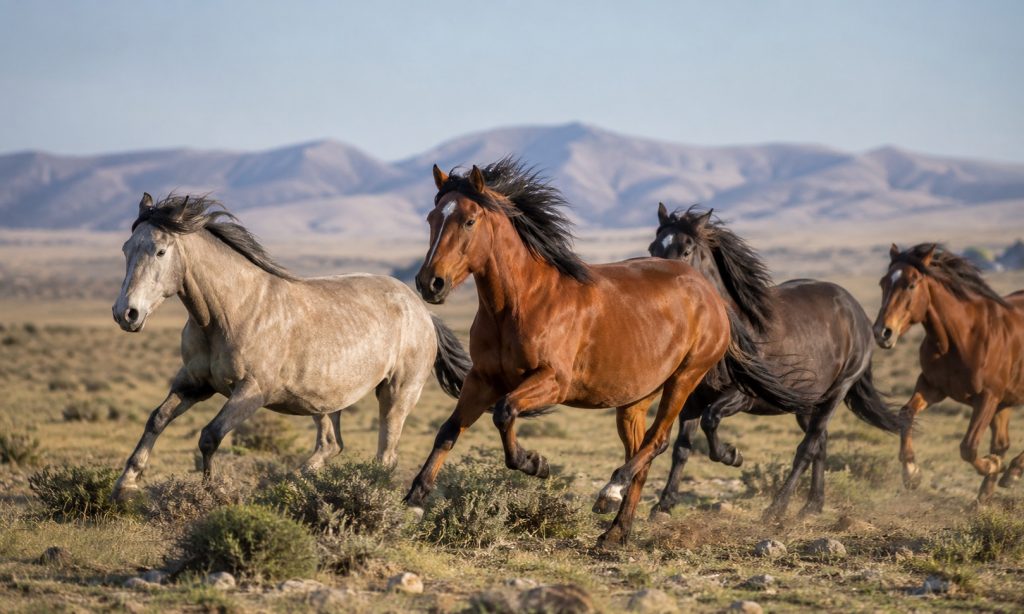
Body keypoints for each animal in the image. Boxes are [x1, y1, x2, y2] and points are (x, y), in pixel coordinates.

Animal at [110, 193, 471, 500]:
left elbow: (210, 436)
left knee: (385, 456)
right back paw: (291, 484)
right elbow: (157, 419)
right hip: (325, 402)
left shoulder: (252, 392)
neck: (231, 310)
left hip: (397, 393)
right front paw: (125, 485)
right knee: (331, 444)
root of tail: (422, 311)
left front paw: (209, 492)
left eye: (160, 251)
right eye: (126, 249)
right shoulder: (194, 382)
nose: (126, 313)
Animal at [402, 158, 811, 546]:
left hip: (684, 378)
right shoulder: (482, 378)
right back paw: (616, 533)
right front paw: (413, 502)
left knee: (657, 442)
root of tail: (709, 293)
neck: (523, 302)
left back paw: (610, 494)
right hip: (634, 400)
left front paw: (535, 463)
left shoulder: (553, 381)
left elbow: (505, 413)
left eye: (469, 220)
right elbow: (449, 430)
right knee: (641, 451)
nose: (430, 283)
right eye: (432, 218)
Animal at [648, 204, 901, 520]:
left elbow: (711, 421)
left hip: (836, 391)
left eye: (685, 250)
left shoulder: (742, 395)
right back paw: (812, 506)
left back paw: (777, 508)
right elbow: (682, 447)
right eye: (653, 248)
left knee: (807, 447)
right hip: (807, 403)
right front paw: (664, 504)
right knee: (821, 444)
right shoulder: (691, 395)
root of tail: (858, 312)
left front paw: (733, 455)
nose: (660, 291)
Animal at [873, 243, 1024, 502]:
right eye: (884, 282)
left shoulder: (988, 397)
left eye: (911, 284)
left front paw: (992, 464)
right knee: (1002, 443)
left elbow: (968, 447)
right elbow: (906, 414)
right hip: (1005, 403)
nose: (882, 332)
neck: (962, 337)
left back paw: (1011, 473)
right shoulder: (932, 386)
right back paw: (985, 495)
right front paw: (911, 472)